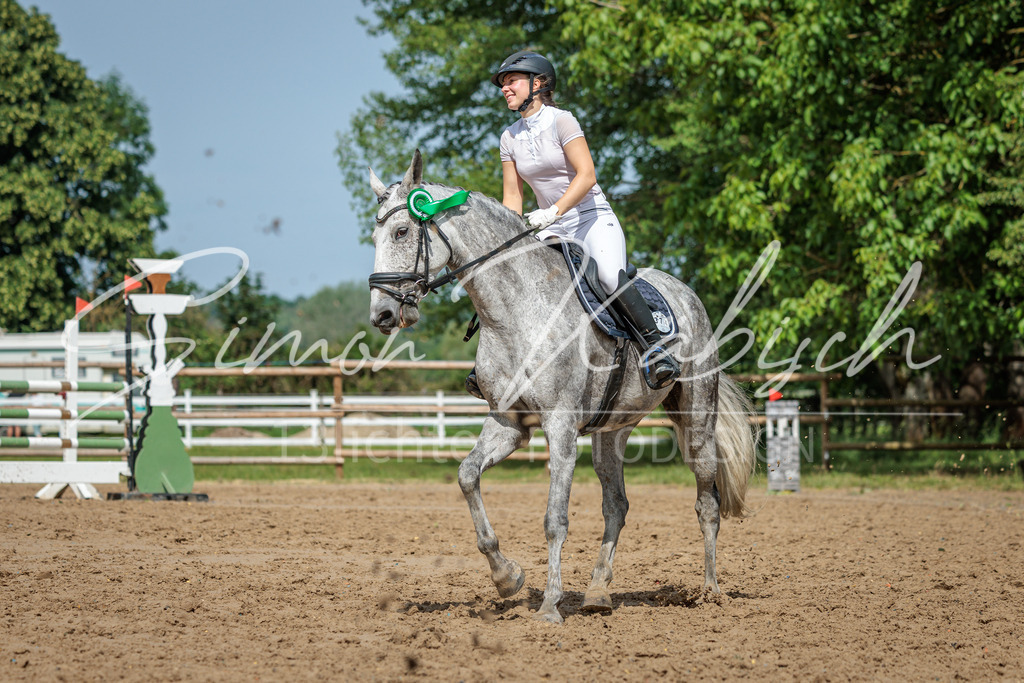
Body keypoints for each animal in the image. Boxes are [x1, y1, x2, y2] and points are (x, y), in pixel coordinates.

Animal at [367, 150, 757, 624]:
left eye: (402, 231)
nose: (382, 315)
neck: (514, 312)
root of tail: (685, 291)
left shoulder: (559, 426)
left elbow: (555, 519)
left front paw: (550, 605)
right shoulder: (508, 424)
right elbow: (467, 477)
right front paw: (506, 577)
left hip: (697, 420)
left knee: (707, 501)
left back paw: (710, 591)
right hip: (612, 431)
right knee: (616, 505)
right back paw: (598, 591)